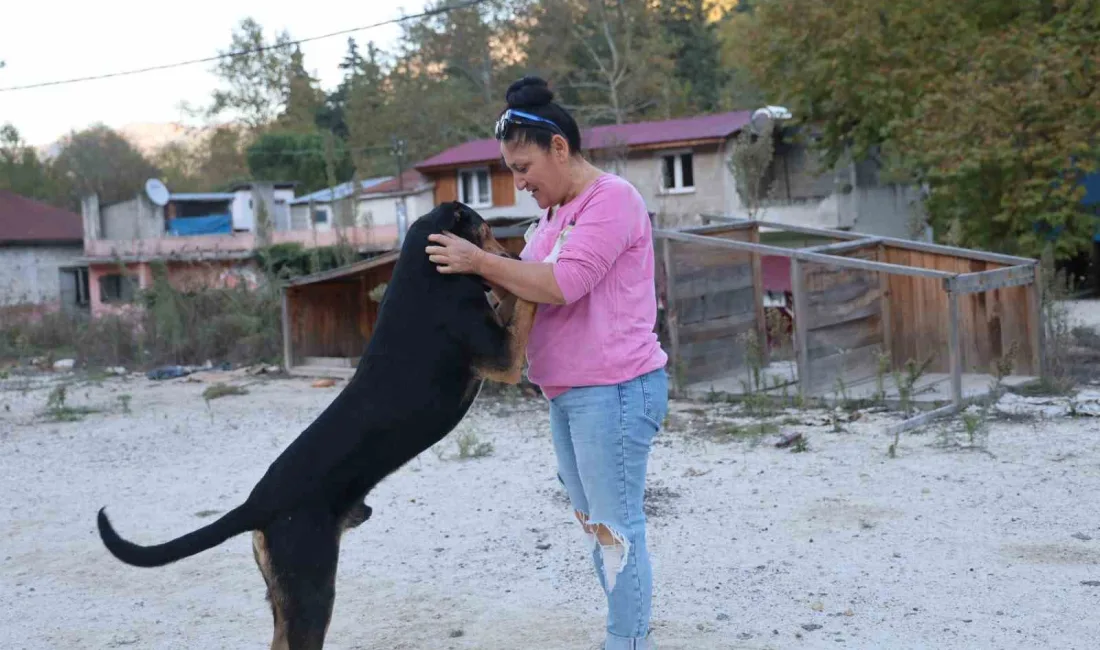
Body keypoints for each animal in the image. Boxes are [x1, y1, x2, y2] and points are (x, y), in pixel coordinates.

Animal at [96, 203, 534, 650]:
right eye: (486, 229)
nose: (511, 253)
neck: (426, 267)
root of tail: (257, 504)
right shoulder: (504, 357)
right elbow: (524, 302)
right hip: (314, 590)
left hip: (285, 596)